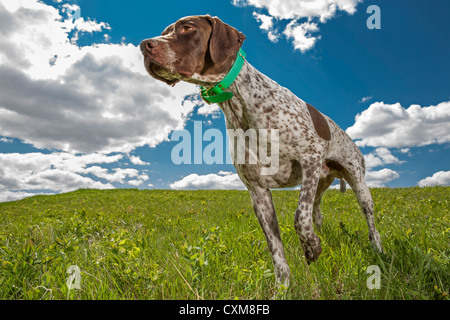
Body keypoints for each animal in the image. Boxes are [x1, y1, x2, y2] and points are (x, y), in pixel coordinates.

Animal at [139, 15, 382, 286]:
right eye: (165, 31)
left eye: (187, 28)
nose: (144, 45)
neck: (239, 103)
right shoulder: (258, 192)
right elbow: (276, 251)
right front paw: (283, 287)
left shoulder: (309, 157)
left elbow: (299, 216)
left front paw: (311, 247)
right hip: (320, 182)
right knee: (317, 209)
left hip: (356, 182)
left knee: (368, 219)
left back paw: (377, 250)